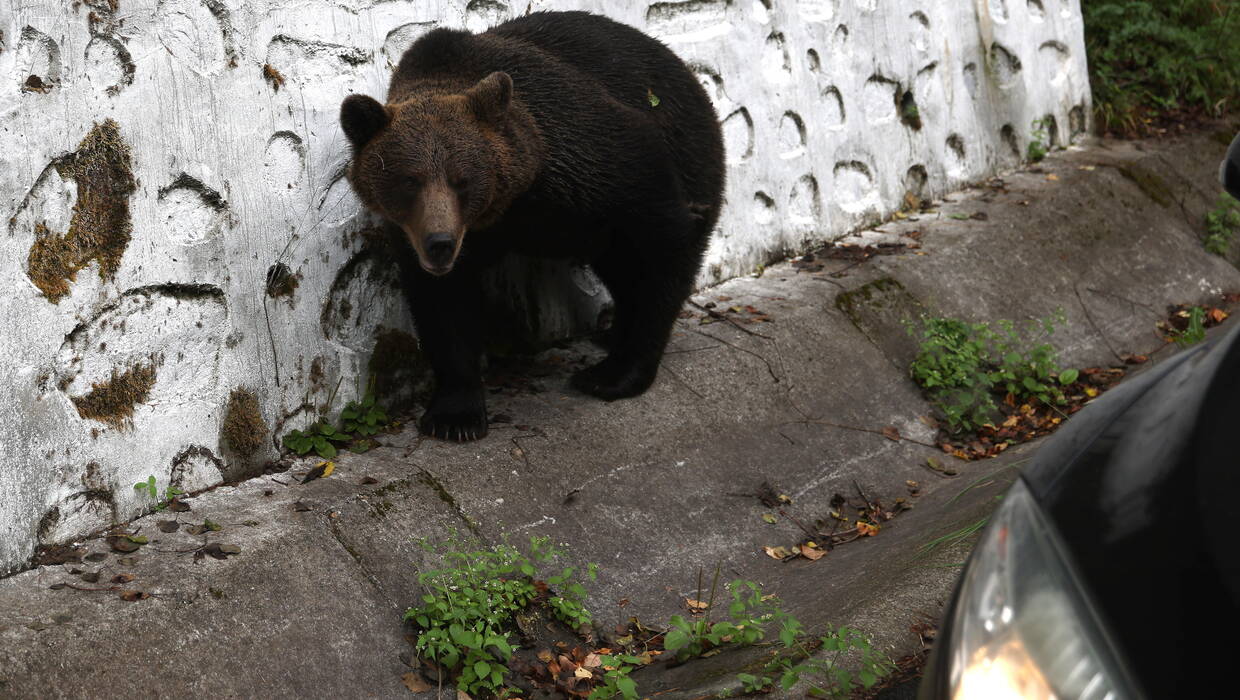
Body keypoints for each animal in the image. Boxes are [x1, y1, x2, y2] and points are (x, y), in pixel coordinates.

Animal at [339, 10, 724, 438]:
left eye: (462, 179)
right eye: (410, 181)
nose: (440, 243)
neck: (516, 201)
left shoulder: (596, 158)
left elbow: (662, 246)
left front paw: (616, 375)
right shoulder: (424, 236)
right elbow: (443, 305)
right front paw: (455, 414)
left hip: (690, 156)